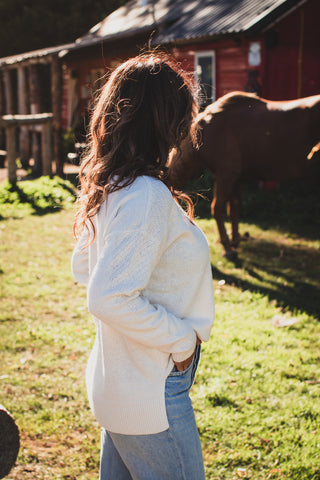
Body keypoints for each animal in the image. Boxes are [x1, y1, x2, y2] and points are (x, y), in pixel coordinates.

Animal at [168, 91, 320, 256]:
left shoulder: (227, 175)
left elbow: (218, 208)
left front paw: (228, 247)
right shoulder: (235, 178)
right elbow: (234, 210)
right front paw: (234, 243)